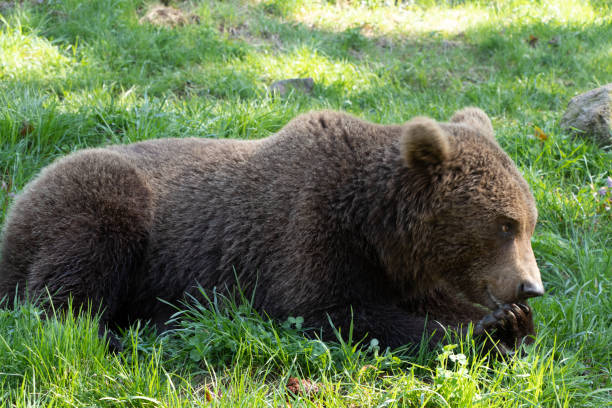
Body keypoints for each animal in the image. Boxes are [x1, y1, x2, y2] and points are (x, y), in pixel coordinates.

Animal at [0, 107, 544, 352]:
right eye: (505, 224)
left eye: (528, 223)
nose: (530, 287)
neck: (377, 228)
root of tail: (22, 194)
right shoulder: (310, 230)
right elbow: (338, 312)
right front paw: (486, 329)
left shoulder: (401, 269)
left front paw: (513, 321)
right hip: (99, 200)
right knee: (69, 284)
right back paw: (122, 333)